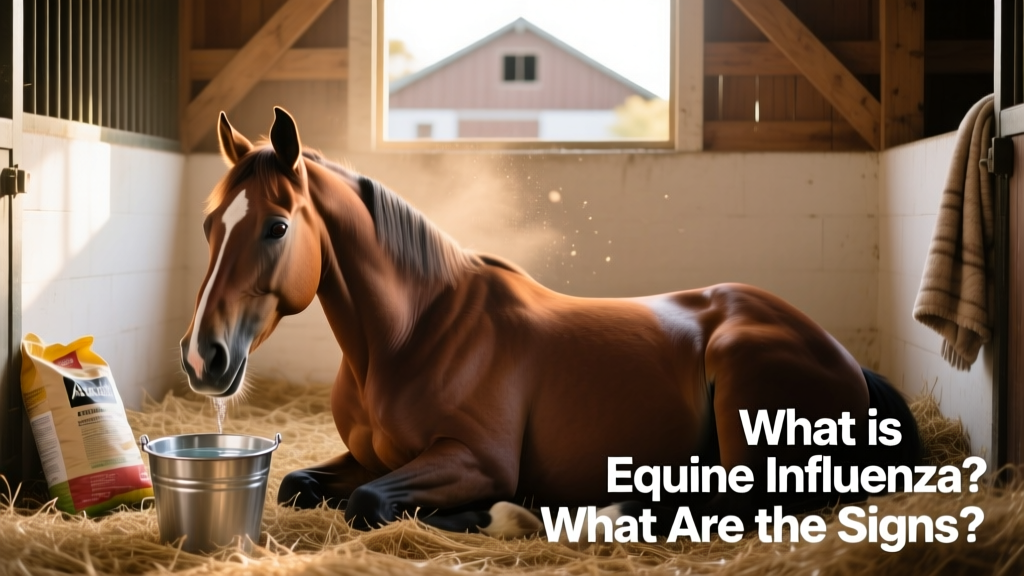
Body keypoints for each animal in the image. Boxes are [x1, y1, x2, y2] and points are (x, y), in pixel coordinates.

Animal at [180, 107, 920, 538]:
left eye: (277, 226)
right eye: (210, 224)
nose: (201, 358)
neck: (414, 336)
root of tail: (843, 360)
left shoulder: (471, 458)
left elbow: (368, 502)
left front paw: (497, 510)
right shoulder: (371, 455)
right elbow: (300, 486)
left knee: (736, 506)